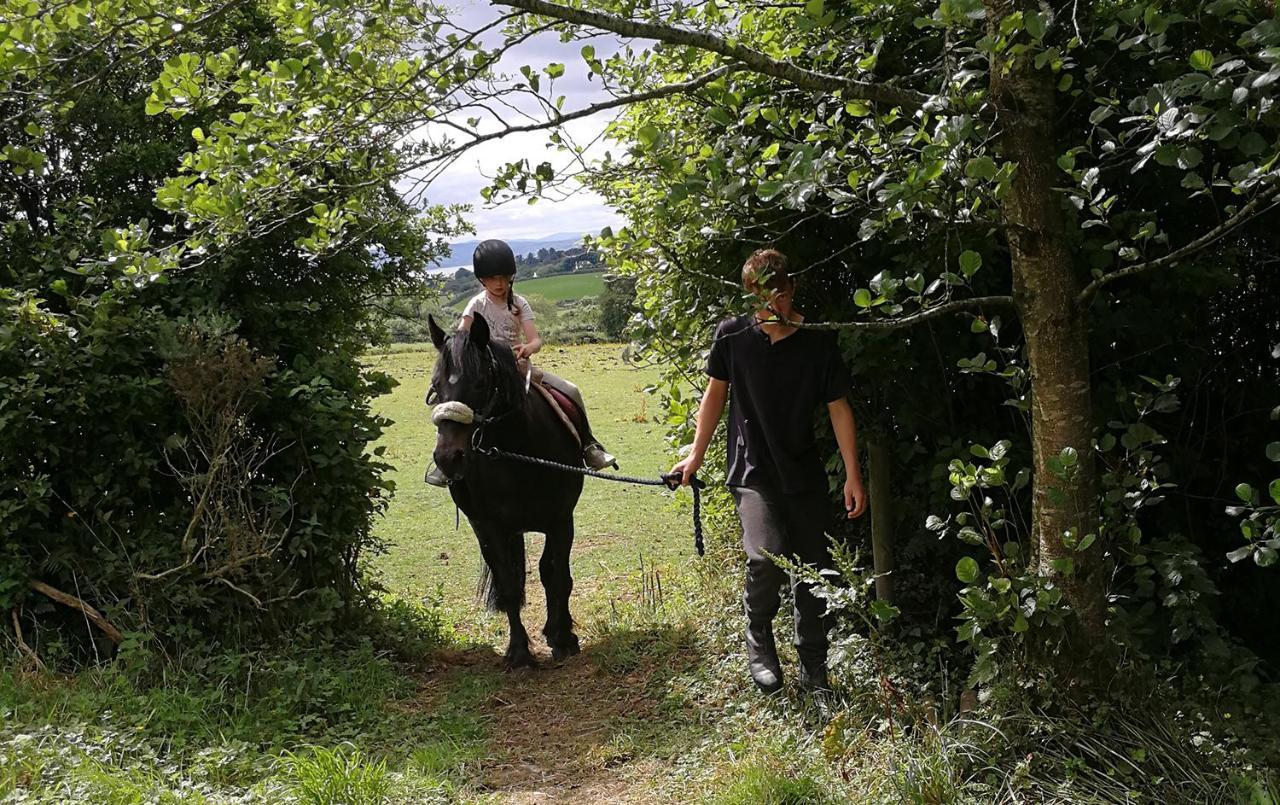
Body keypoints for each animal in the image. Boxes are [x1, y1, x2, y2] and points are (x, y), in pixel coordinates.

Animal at [430, 313, 588, 665]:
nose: (448, 458)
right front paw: (518, 651)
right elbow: (508, 586)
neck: (517, 451)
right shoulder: (488, 528)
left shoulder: (561, 520)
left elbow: (557, 577)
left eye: (479, 382)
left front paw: (563, 637)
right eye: (436, 386)